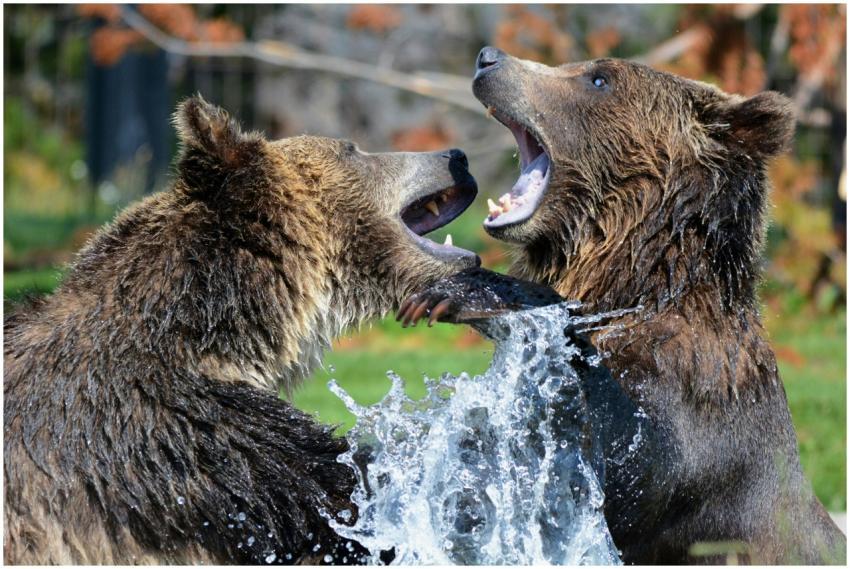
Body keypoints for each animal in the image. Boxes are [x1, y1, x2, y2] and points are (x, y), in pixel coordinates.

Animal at [398, 47, 846, 564]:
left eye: (598, 79)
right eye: (576, 66)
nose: (490, 59)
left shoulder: (693, 409)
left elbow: (623, 455)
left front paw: (458, 292)